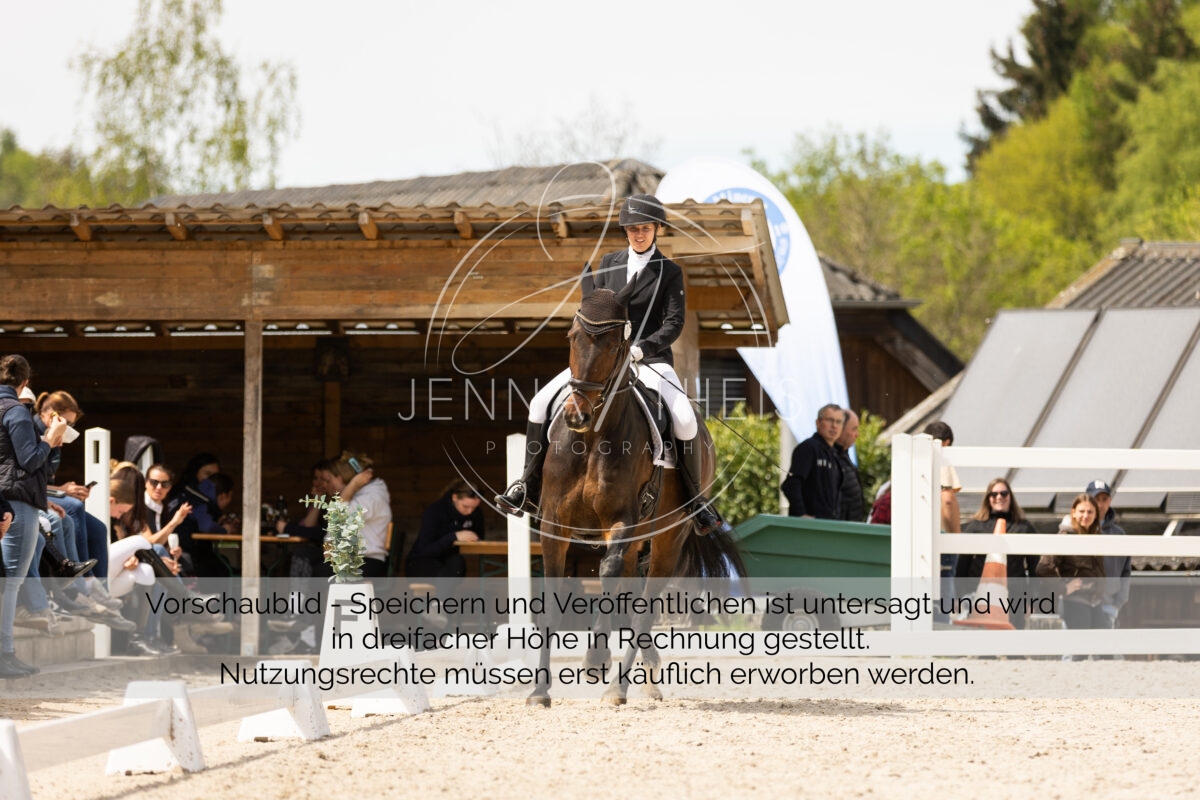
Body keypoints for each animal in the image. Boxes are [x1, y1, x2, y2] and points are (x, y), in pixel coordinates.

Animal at [528, 285, 746, 707]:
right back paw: (644, 672)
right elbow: (552, 599)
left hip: (667, 539)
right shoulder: (554, 524)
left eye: (616, 344)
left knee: (645, 601)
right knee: (631, 595)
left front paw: (596, 662)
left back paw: (622, 685)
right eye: (572, 338)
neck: (591, 440)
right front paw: (539, 692)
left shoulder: (621, 521)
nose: (576, 416)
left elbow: (608, 576)